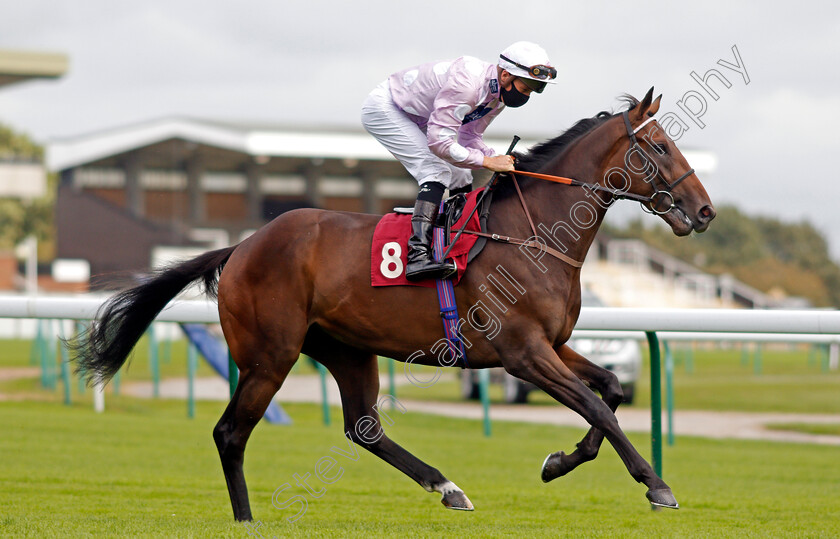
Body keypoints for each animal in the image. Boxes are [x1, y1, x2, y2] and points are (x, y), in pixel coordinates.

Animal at [74, 89, 716, 524]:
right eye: (659, 146)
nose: (705, 211)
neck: (532, 234)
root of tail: (243, 245)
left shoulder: (552, 344)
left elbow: (609, 390)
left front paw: (559, 461)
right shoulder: (522, 352)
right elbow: (596, 405)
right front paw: (655, 484)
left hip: (346, 350)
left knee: (363, 428)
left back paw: (448, 487)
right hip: (269, 354)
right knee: (230, 432)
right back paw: (246, 518)